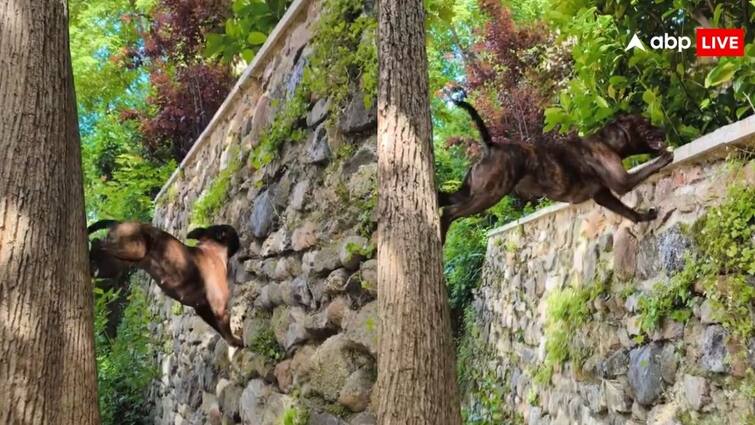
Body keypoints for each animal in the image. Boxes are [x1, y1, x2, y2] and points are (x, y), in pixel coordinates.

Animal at [87, 220, 244, 346]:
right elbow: (225, 330)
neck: (212, 249)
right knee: (97, 243)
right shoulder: (219, 308)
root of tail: (117, 221)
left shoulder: (202, 308)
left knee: (97, 249)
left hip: (114, 265)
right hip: (134, 249)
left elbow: (220, 330)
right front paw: (236, 342)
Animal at [440, 89, 676, 242]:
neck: (606, 141)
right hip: (490, 194)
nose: (664, 126)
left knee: (445, 198)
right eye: (646, 122)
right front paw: (665, 157)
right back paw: (441, 232)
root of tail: (491, 145)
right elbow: (647, 169)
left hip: (470, 190)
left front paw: (644, 218)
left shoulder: (603, 195)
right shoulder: (622, 182)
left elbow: (628, 212)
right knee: (449, 212)